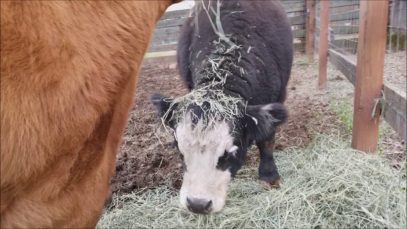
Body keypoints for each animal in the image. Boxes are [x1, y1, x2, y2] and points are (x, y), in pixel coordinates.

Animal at [153, 0, 294, 214]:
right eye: (179, 150)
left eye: (229, 153)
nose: (197, 204)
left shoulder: (277, 98)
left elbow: (267, 140)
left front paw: (269, 176)